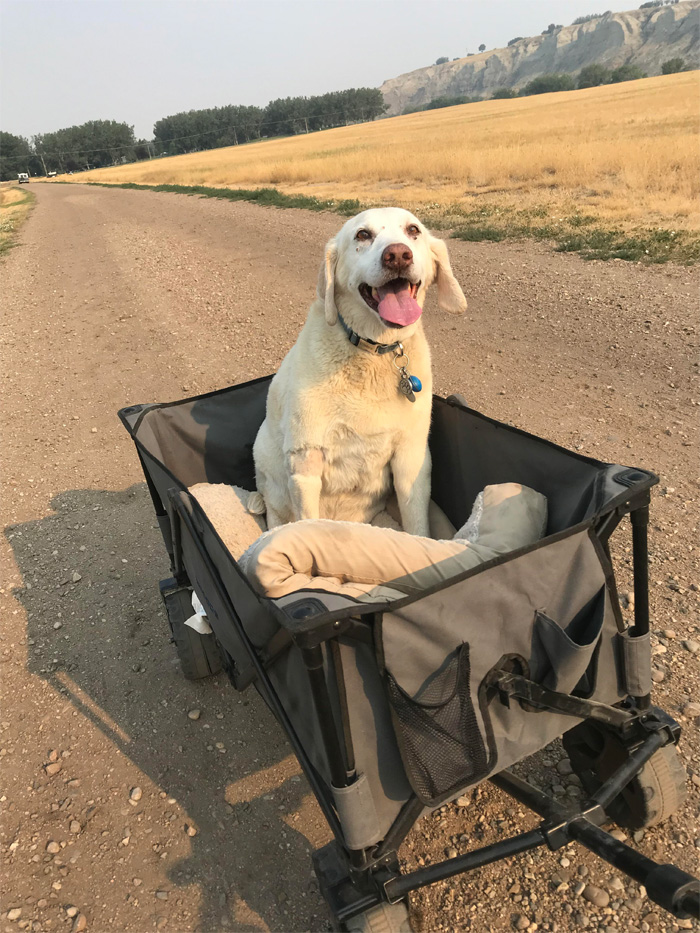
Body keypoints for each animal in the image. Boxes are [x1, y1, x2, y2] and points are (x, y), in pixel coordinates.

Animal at [252, 207, 464, 536]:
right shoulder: (305, 462)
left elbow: (418, 527)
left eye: (413, 230)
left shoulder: (412, 460)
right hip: (268, 472)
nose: (398, 255)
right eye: (362, 234)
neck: (373, 352)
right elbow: (307, 524)